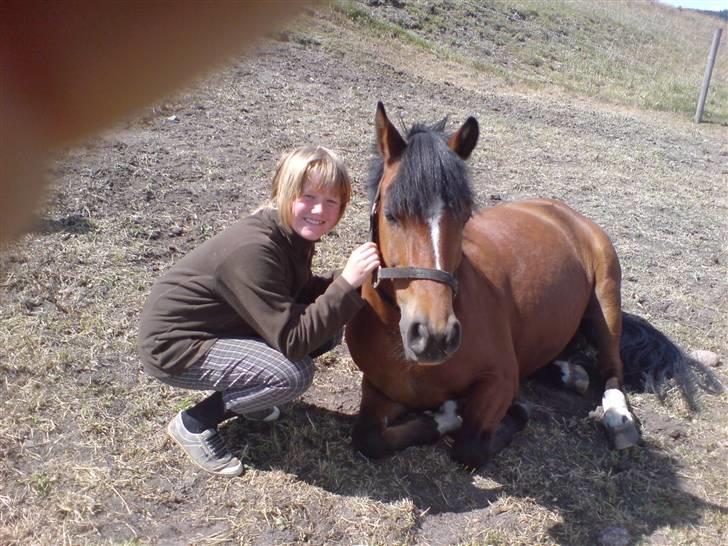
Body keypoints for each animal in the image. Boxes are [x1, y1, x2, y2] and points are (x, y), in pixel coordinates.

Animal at [346, 102, 724, 468]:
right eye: (391, 214)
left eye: (465, 215)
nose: (435, 335)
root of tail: (565, 212)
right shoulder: (379, 388)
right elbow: (368, 438)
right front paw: (444, 413)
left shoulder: (500, 381)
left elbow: (470, 447)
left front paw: (463, 414)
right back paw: (568, 373)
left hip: (607, 301)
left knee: (611, 368)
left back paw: (617, 417)